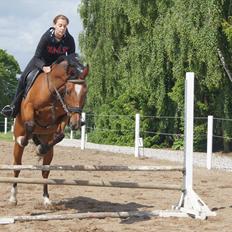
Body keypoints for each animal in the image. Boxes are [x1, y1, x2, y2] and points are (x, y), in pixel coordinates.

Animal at [8, 54, 88, 205]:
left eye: (85, 93)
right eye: (68, 91)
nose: (76, 124)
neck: (53, 91)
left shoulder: (64, 115)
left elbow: (60, 135)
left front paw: (40, 149)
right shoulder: (28, 107)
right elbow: (30, 125)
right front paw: (24, 140)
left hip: (47, 145)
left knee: (45, 170)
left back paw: (46, 198)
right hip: (17, 139)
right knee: (17, 166)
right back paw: (13, 197)